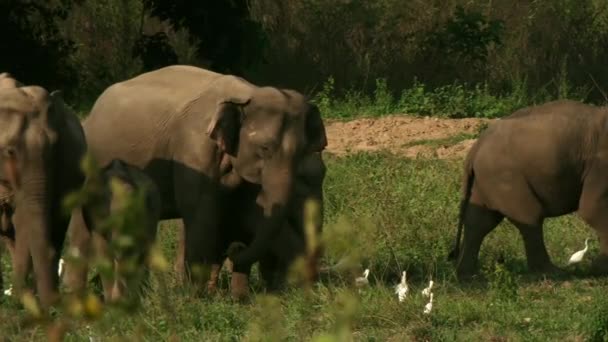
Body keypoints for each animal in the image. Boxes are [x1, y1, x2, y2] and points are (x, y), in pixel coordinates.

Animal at [66, 65, 328, 294]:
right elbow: (202, 213)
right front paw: (197, 297)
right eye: (264, 148)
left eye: (303, 151)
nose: (234, 250)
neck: (247, 93)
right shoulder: (194, 149)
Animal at [452, 99, 608, 280]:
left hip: (485, 180)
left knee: (479, 222)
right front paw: (600, 271)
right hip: (505, 177)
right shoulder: (601, 166)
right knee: (529, 218)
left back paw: (468, 276)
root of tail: (475, 148)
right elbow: (592, 210)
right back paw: (553, 273)